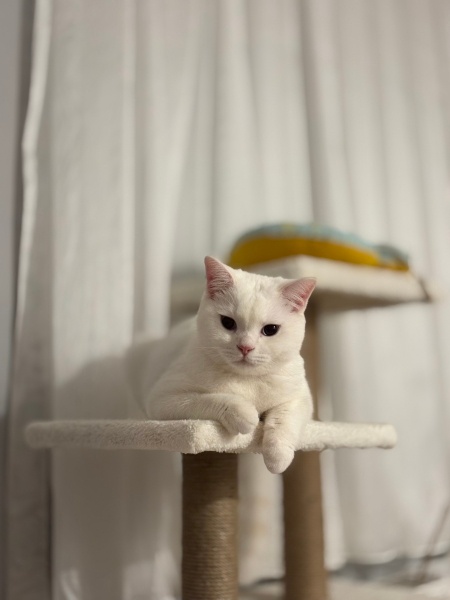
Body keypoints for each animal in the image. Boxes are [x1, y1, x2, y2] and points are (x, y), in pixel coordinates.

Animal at [126, 258, 316, 474]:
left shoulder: (300, 397)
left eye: (270, 330)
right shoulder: (163, 398)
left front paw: (278, 457)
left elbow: (285, 419)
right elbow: (210, 399)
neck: (246, 381)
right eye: (227, 322)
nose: (245, 347)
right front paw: (245, 414)